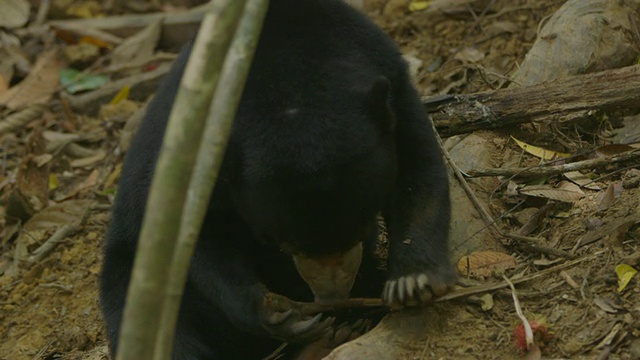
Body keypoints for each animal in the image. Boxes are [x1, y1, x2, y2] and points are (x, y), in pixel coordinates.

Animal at [100, 0, 456, 360]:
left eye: (362, 226)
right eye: (280, 241)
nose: (332, 298)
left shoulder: (392, 84)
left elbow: (419, 169)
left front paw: (412, 281)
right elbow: (200, 238)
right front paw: (281, 313)